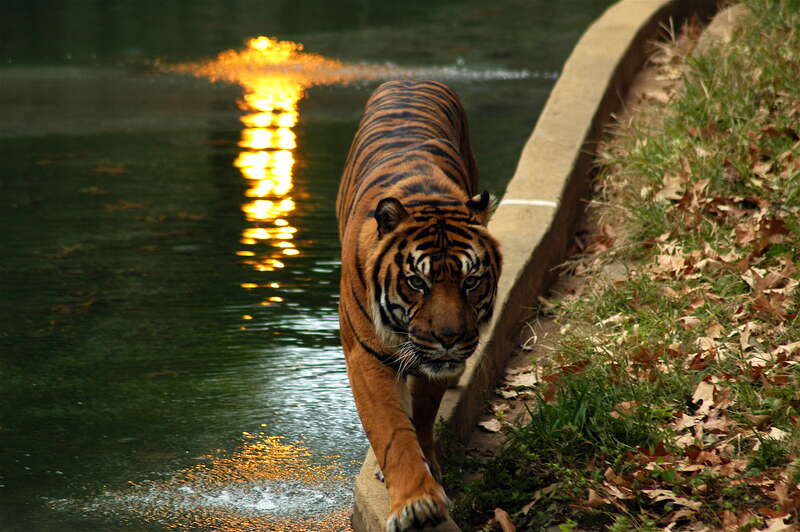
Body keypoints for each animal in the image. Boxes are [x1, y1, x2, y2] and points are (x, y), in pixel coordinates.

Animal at [337, 80, 502, 531]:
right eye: (417, 282)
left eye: (471, 281)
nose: (450, 338)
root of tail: (408, 79)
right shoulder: (367, 354)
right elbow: (391, 430)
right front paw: (416, 503)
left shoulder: (435, 361)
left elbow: (423, 414)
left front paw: (430, 471)